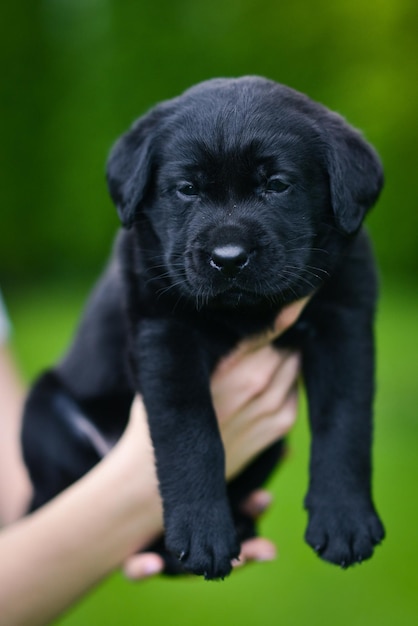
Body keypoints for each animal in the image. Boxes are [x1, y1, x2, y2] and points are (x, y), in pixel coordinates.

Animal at [21, 75, 384, 576]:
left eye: (277, 185)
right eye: (187, 188)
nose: (228, 258)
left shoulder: (345, 321)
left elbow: (345, 421)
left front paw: (345, 520)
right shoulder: (165, 330)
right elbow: (191, 433)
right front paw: (203, 534)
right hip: (42, 414)